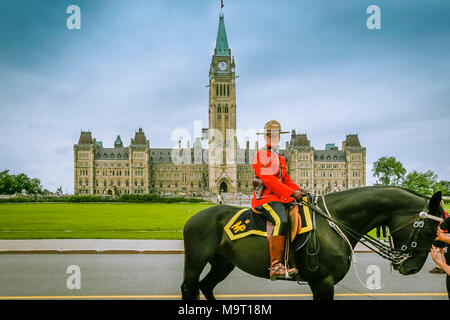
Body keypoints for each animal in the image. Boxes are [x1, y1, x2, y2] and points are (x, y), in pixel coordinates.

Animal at [181, 186, 444, 298]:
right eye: (432, 230)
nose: (412, 268)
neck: (335, 221)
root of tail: (194, 217)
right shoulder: (322, 282)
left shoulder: (322, 283)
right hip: (195, 258)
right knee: (189, 287)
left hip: (224, 262)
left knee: (205, 286)